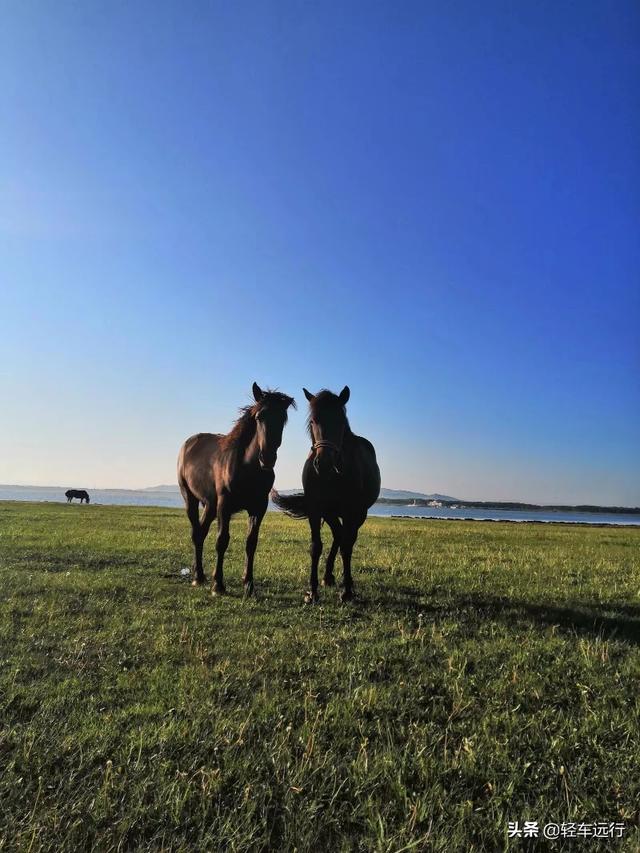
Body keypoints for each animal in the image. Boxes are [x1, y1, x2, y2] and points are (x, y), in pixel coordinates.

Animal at [176, 382, 294, 596]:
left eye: (282, 419)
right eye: (259, 417)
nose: (267, 458)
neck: (247, 467)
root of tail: (188, 443)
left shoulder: (259, 507)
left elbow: (251, 543)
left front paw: (249, 584)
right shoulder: (225, 504)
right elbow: (222, 540)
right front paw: (218, 585)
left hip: (210, 505)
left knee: (201, 533)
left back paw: (199, 574)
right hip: (190, 498)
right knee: (196, 532)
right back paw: (198, 577)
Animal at [272, 382, 380, 604]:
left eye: (340, 421)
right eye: (313, 421)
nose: (323, 464)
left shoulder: (351, 511)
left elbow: (347, 547)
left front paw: (346, 591)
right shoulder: (315, 509)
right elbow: (316, 546)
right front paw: (312, 591)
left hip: (359, 514)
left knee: (347, 540)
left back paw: (345, 580)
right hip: (330, 513)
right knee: (338, 535)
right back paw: (328, 576)